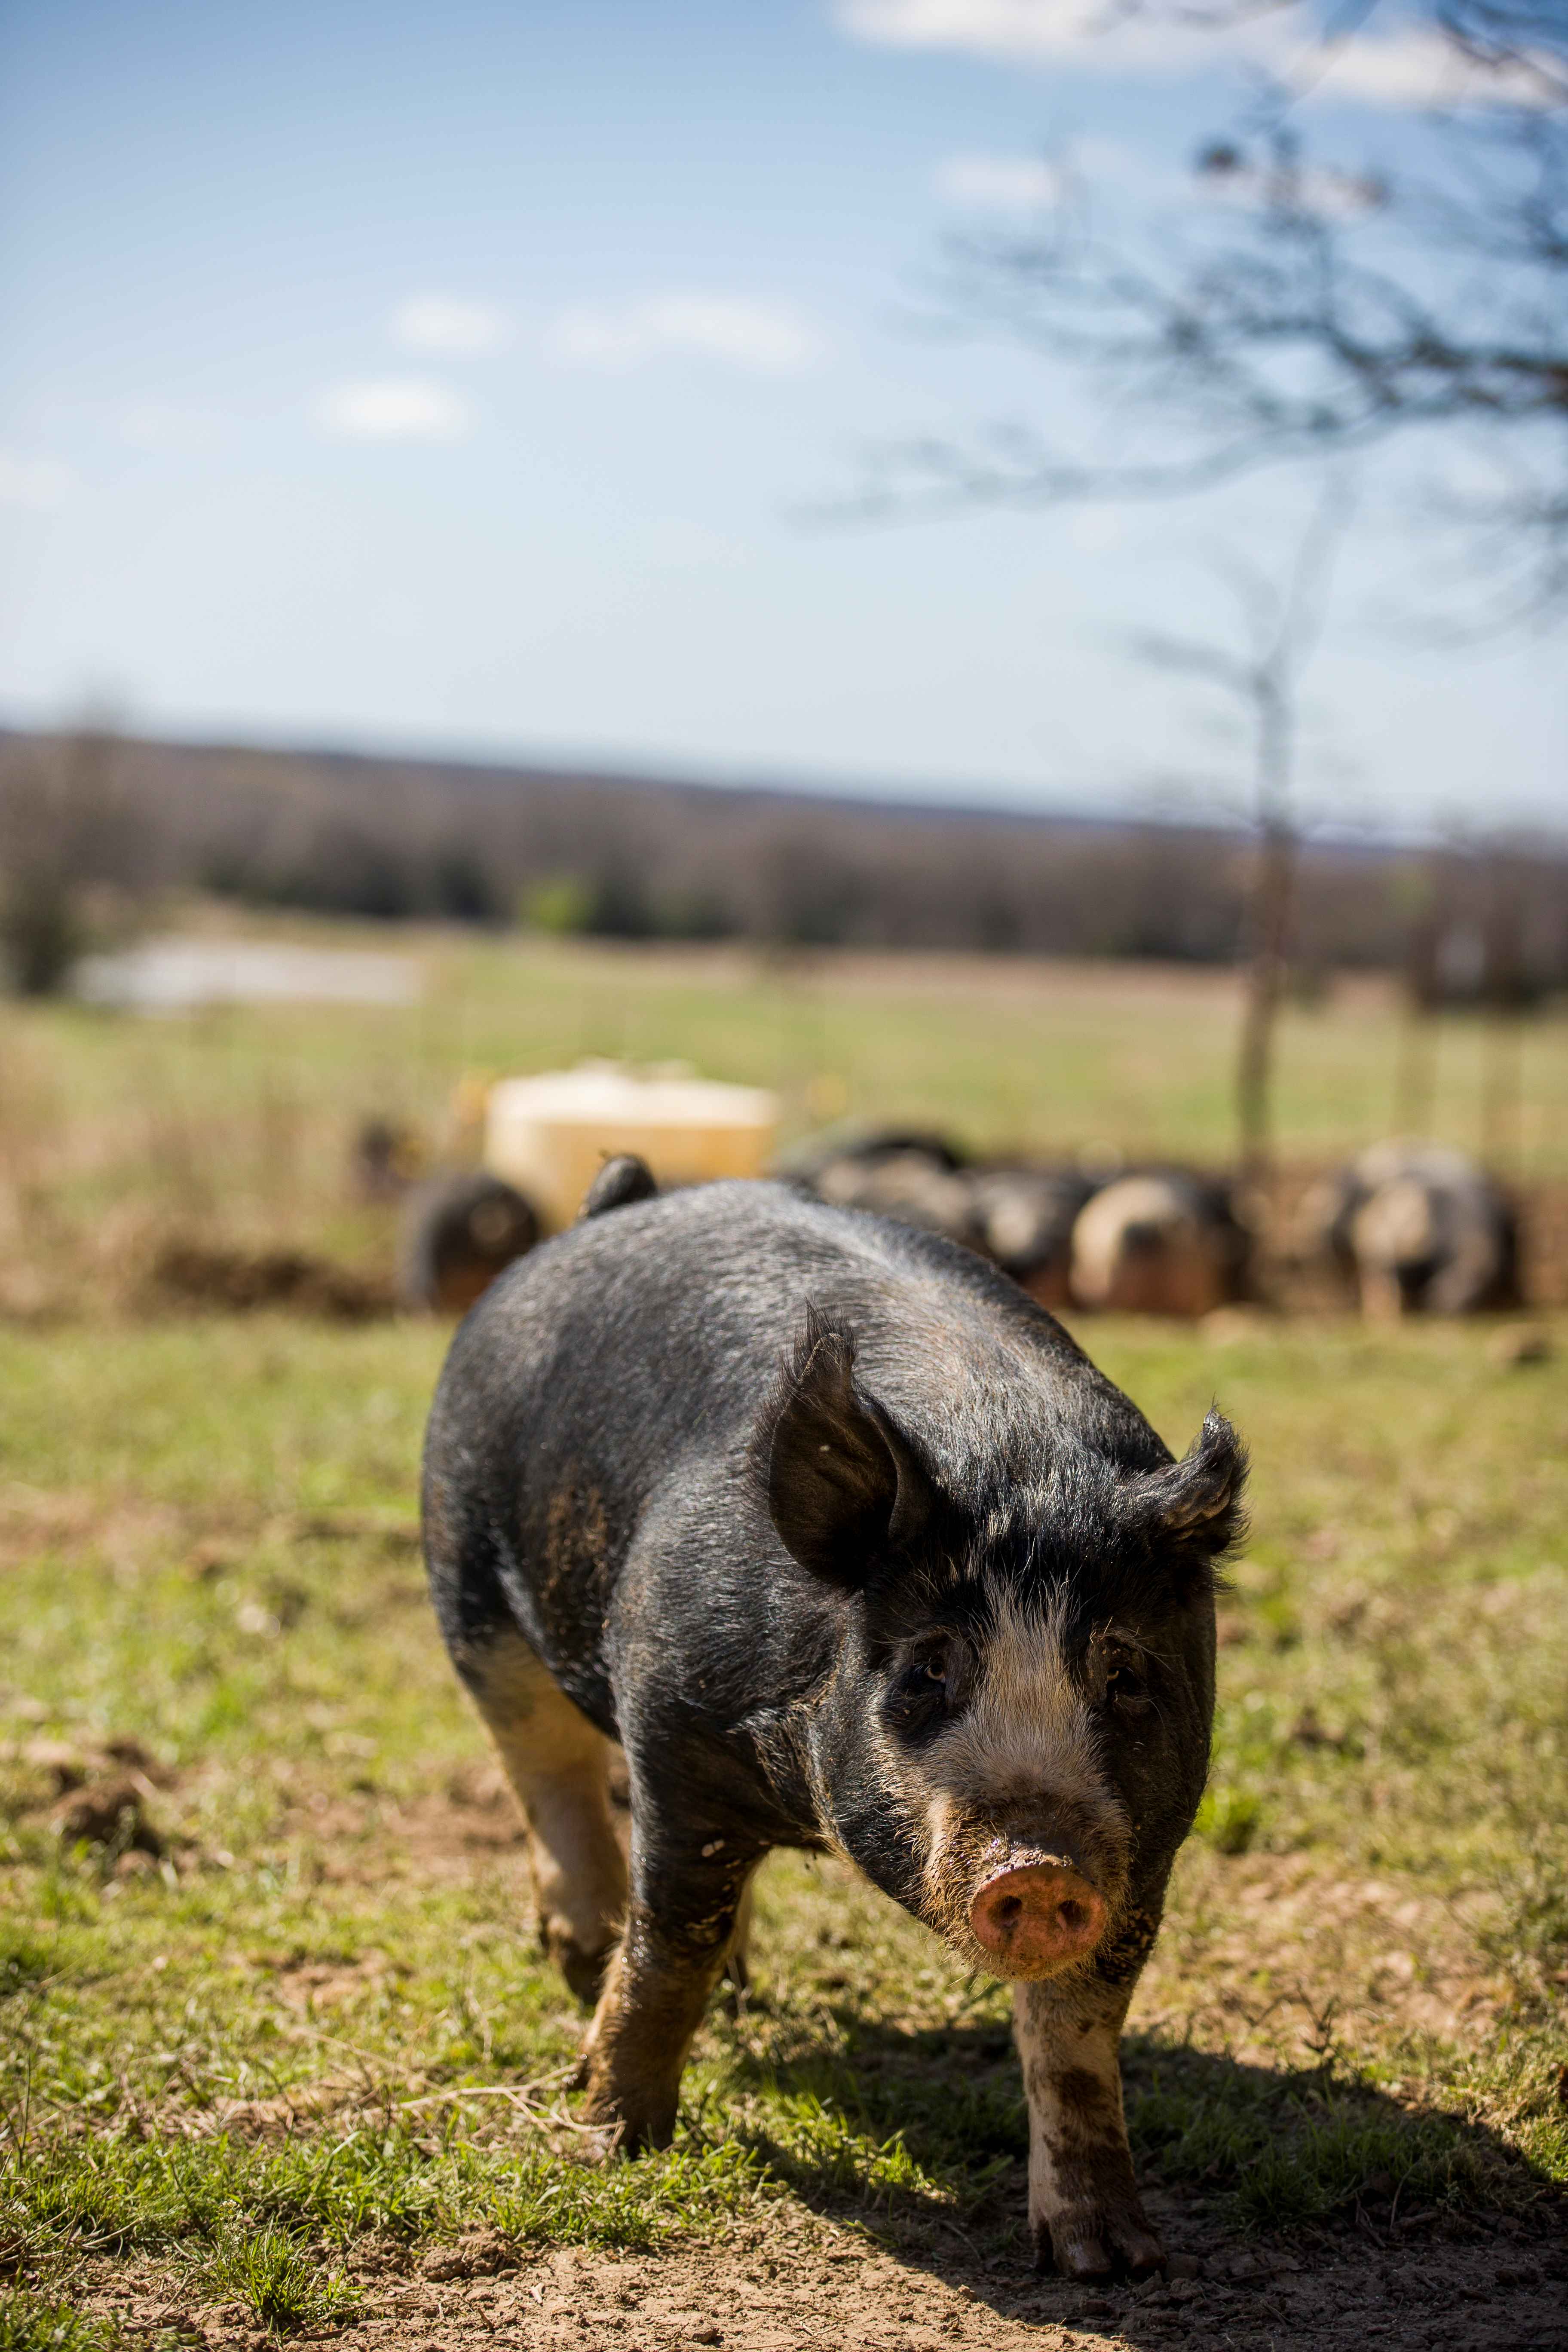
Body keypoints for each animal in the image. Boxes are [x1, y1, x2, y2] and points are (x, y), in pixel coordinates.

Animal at [420, 1171, 1250, 2276]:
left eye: (1121, 1671)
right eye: (929, 1665)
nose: (1037, 1865)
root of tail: (614, 1204)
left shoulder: (1149, 1841)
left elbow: (1077, 2033)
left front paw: (1112, 2258)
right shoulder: (676, 1717)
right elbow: (670, 1941)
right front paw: (606, 2144)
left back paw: (731, 1982)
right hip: (467, 1574)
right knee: (545, 1769)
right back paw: (584, 1954)